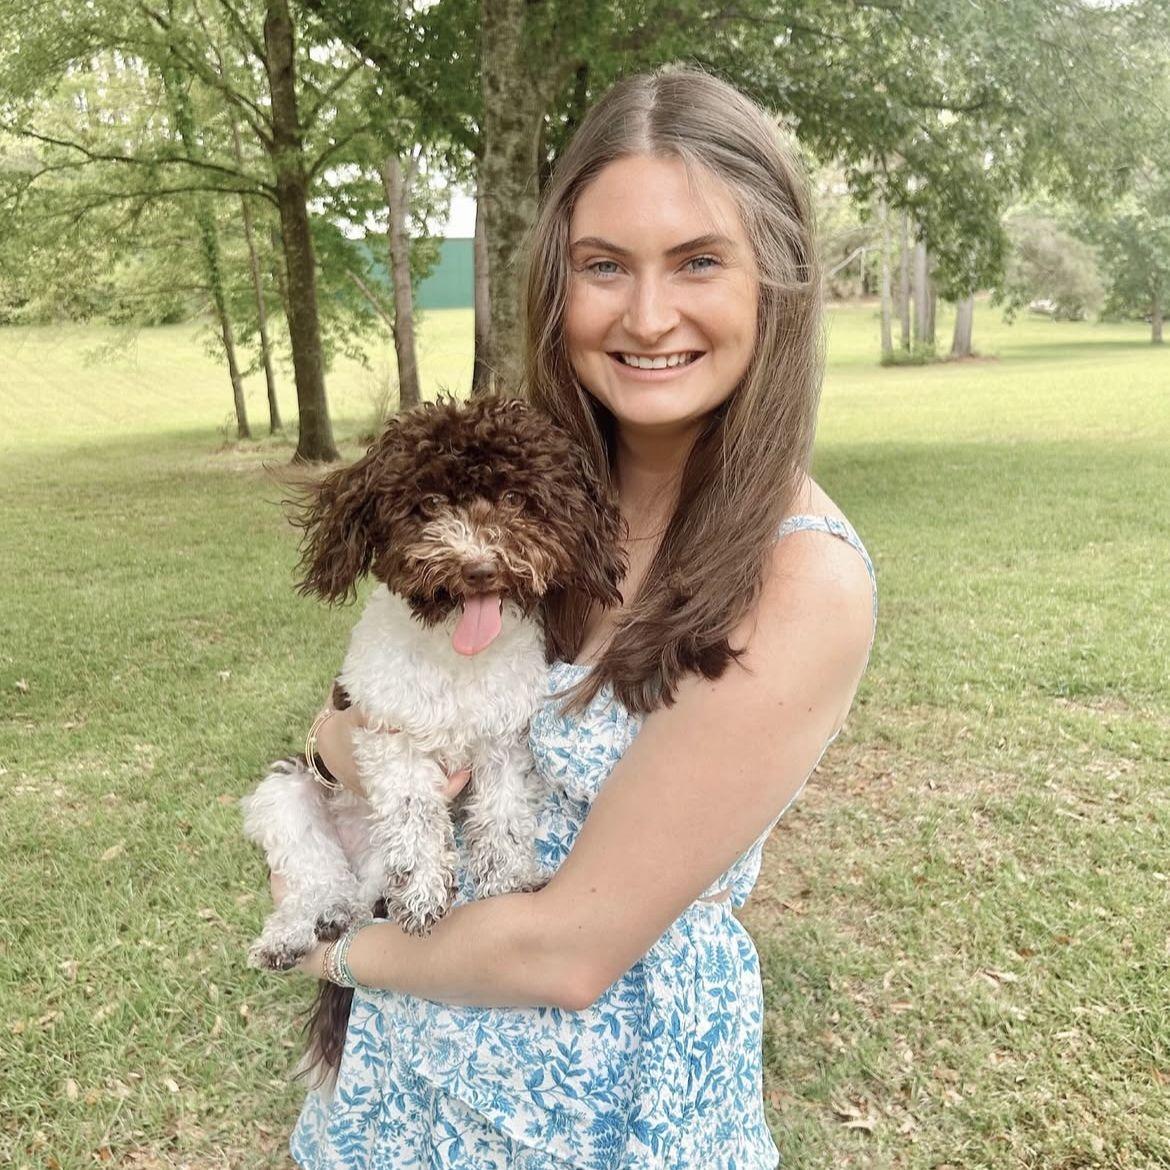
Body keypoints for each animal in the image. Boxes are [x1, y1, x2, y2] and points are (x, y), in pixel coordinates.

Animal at [241, 396, 623, 973]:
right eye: (430, 503)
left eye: (515, 498)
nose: (480, 568)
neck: (457, 658)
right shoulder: (390, 738)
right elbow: (414, 815)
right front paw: (423, 895)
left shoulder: (504, 740)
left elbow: (503, 814)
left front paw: (507, 880)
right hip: (287, 792)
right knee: (315, 875)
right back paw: (296, 930)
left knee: (361, 894)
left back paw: (336, 916)